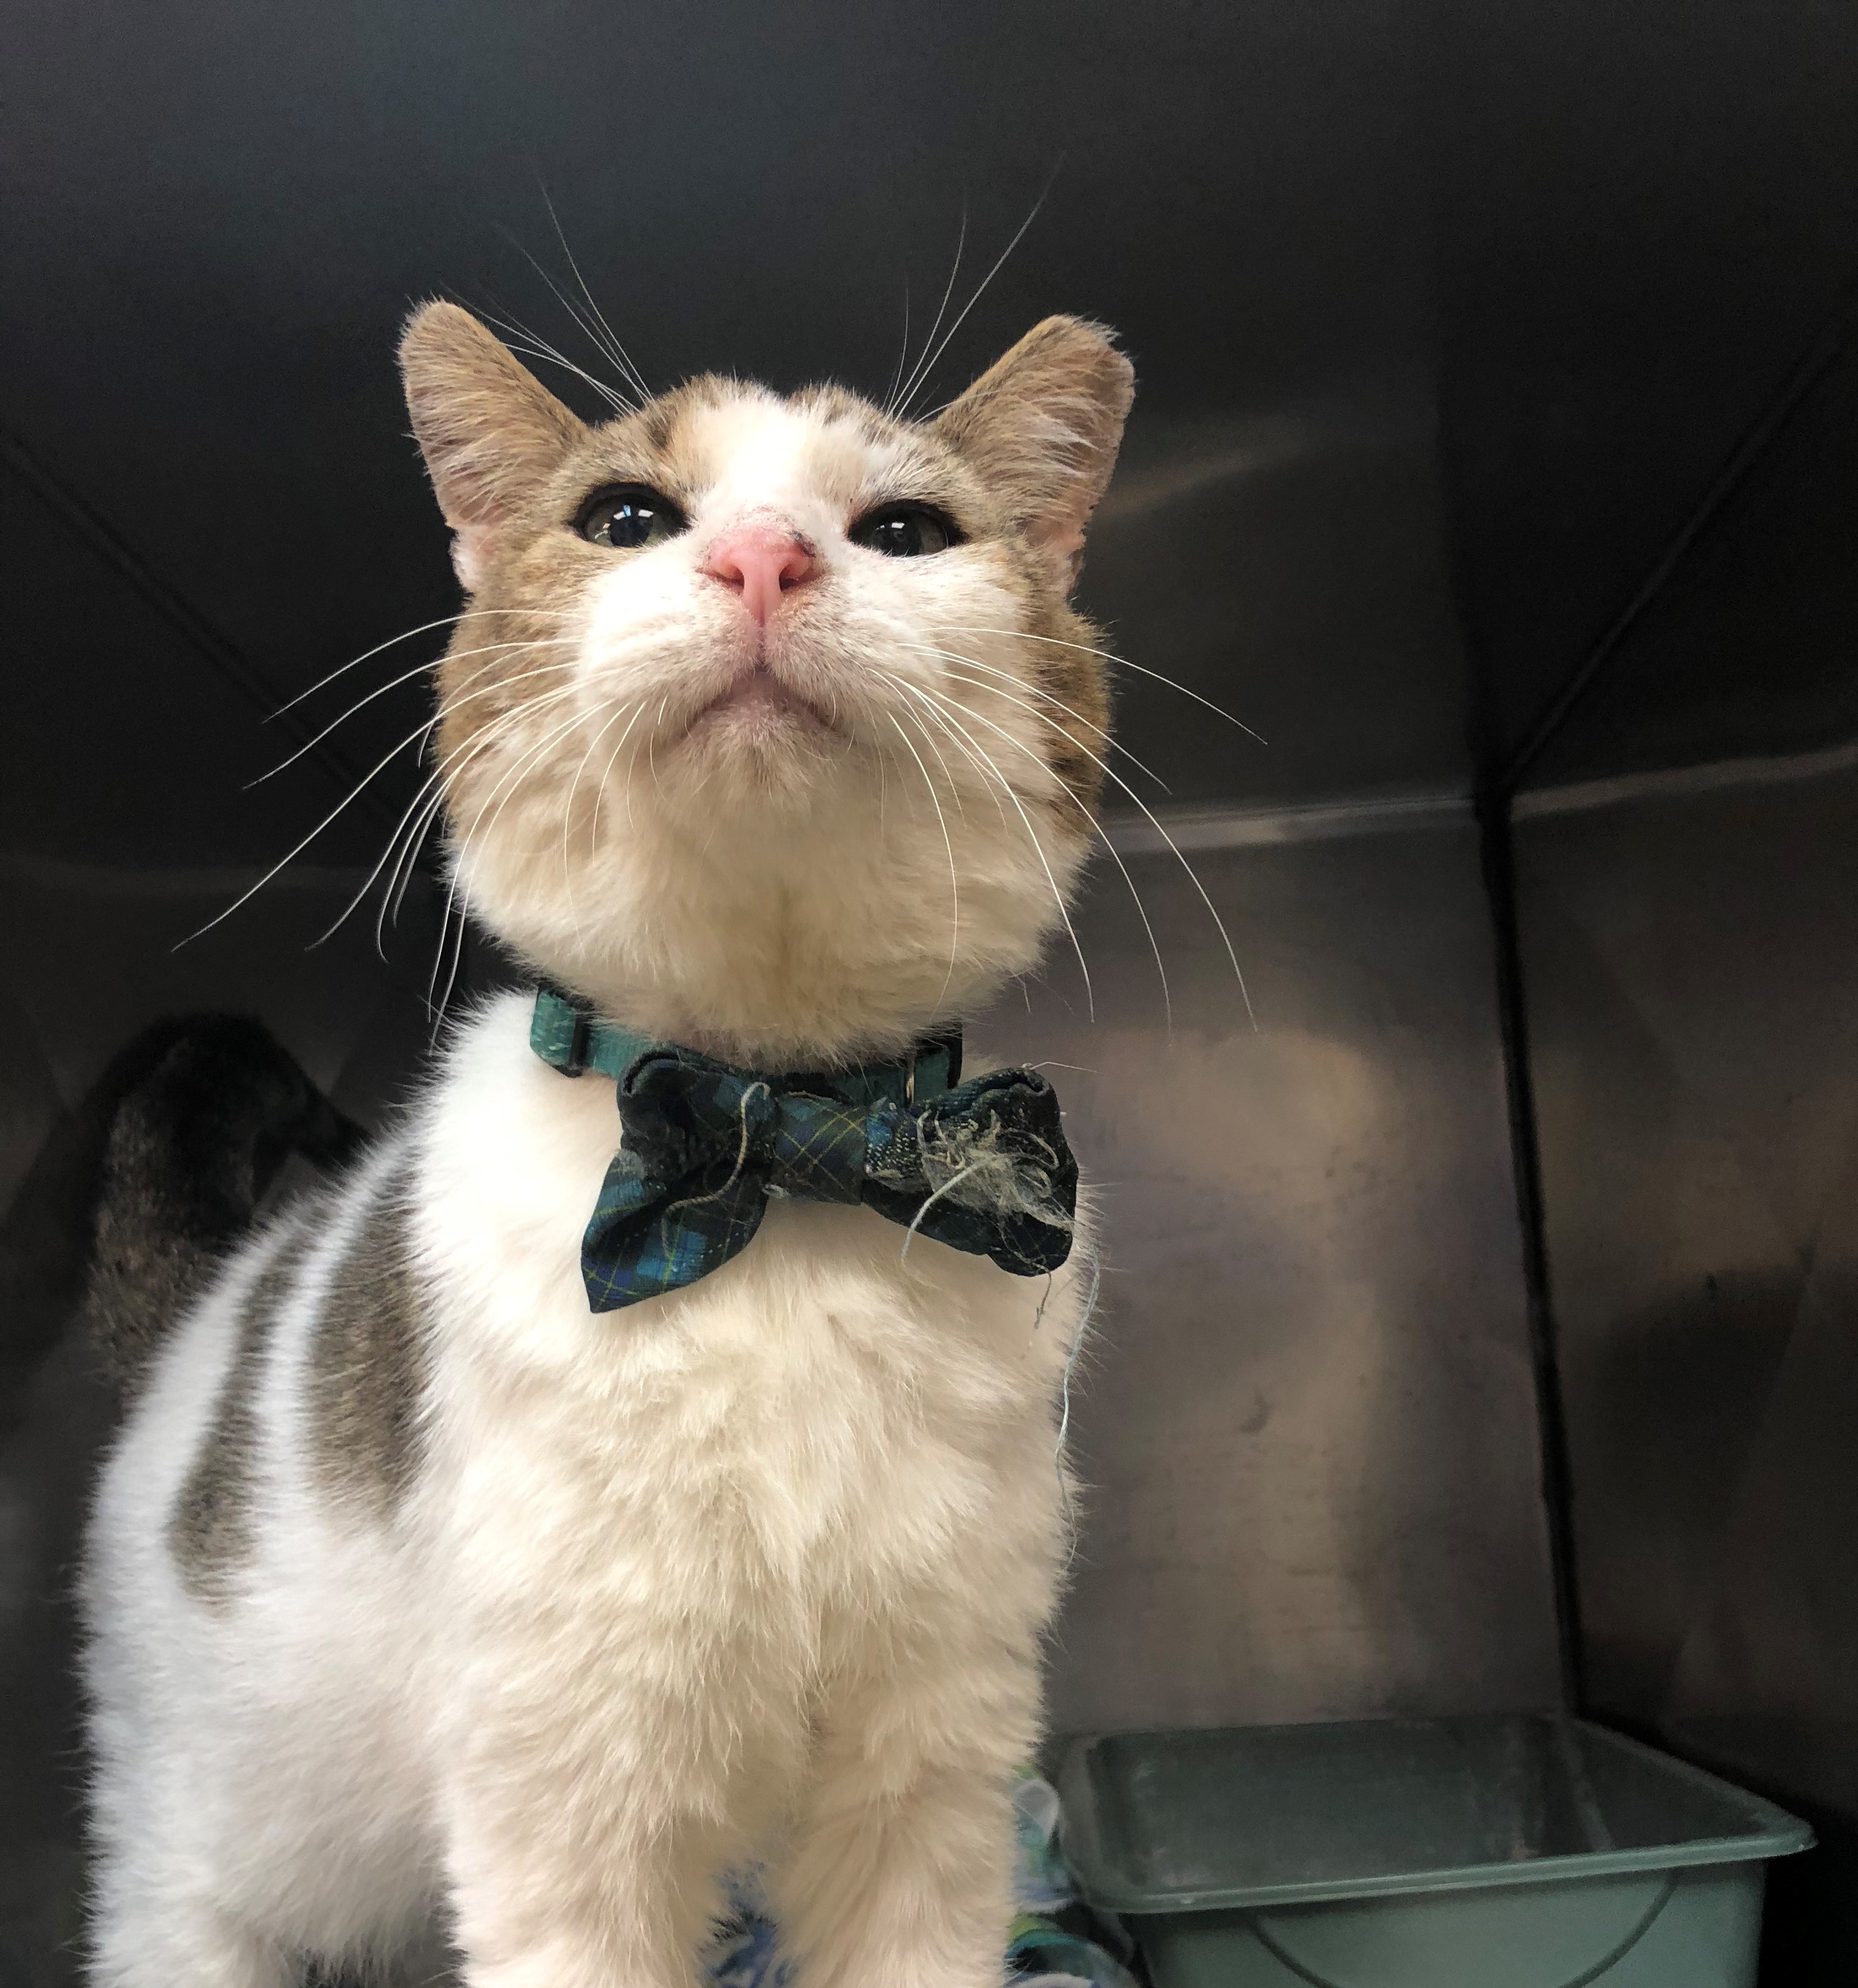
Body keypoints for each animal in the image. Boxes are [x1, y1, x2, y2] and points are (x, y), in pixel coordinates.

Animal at [78, 298, 1134, 1988]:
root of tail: (197, 1321)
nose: (764, 557)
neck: (775, 1138)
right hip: (195, 1878)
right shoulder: (570, 1804)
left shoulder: (927, 1783)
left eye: (907, 531)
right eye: (626, 518)